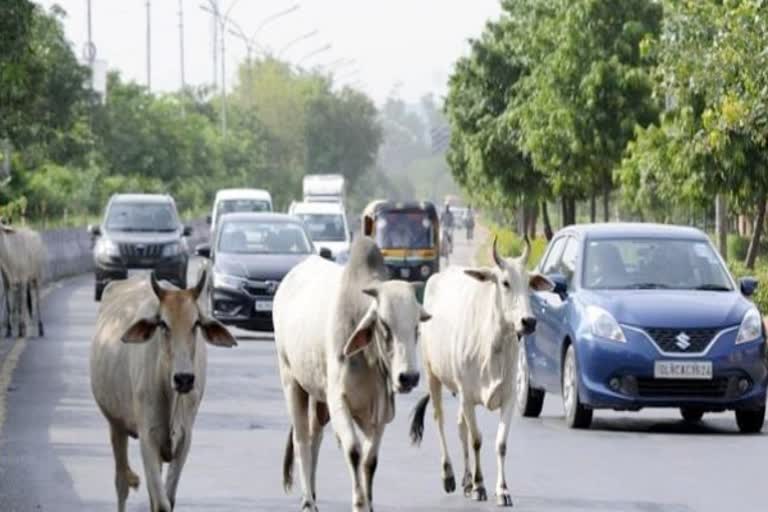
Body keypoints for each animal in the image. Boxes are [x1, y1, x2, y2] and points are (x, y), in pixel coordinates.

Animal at [276, 238, 432, 510]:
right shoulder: (338, 401)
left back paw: (313, 492)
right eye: (384, 324)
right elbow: (354, 451)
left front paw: (369, 504)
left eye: (416, 327)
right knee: (301, 440)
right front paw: (359, 503)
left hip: (317, 396)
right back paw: (308, 501)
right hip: (291, 381)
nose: (408, 377)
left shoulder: (379, 412)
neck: (368, 358)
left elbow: (370, 461)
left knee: (315, 437)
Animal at [408, 237, 552, 508]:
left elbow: (500, 443)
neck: (493, 345)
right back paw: (450, 476)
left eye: (529, 283)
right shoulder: (467, 395)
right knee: (440, 421)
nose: (528, 321)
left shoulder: (508, 397)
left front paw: (502, 490)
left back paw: (466, 480)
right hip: (433, 375)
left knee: (459, 426)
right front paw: (480, 486)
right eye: (505, 282)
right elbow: (477, 440)